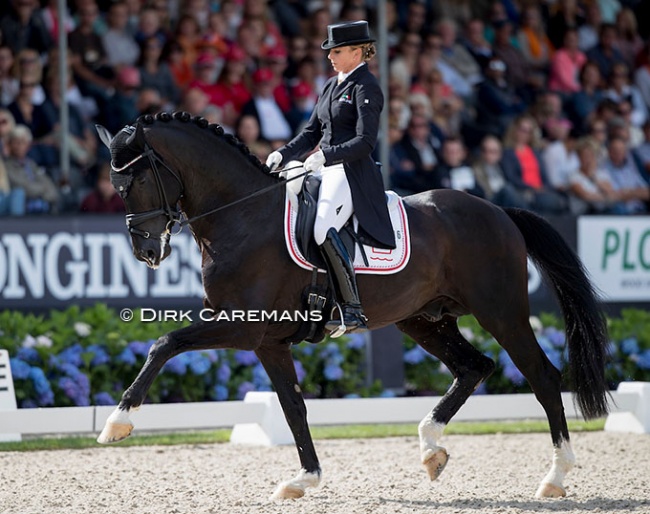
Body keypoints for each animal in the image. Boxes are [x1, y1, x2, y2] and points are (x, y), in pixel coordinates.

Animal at [96, 111, 608, 496]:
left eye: (135, 180)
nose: (147, 252)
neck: (242, 216)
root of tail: (499, 211)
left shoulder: (243, 327)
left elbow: (165, 342)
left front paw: (118, 423)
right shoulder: (267, 341)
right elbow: (293, 407)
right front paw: (304, 479)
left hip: (501, 312)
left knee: (542, 377)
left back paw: (555, 478)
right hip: (423, 320)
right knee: (474, 367)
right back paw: (431, 449)